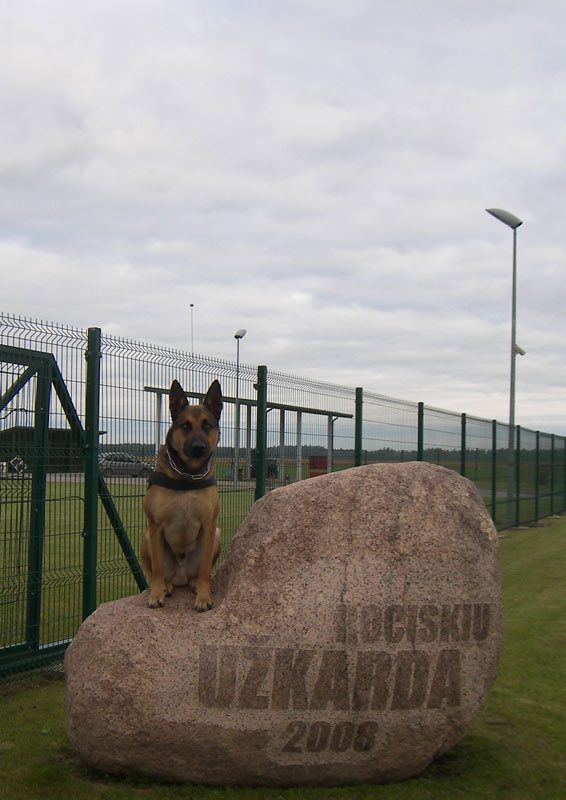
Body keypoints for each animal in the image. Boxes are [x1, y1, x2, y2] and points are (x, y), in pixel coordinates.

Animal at [140, 382, 224, 612]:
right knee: (157, 571)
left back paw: (193, 582)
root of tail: (180, 577)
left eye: (207, 426)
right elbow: (157, 568)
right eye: (185, 426)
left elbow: (205, 569)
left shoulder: (209, 525)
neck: (188, 475)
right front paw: (156, 594)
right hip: (147, 537)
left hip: (217, 534)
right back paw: (165, 586)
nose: (198, 448)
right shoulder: (155, 525)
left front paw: (204, 596)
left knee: (200, 570)